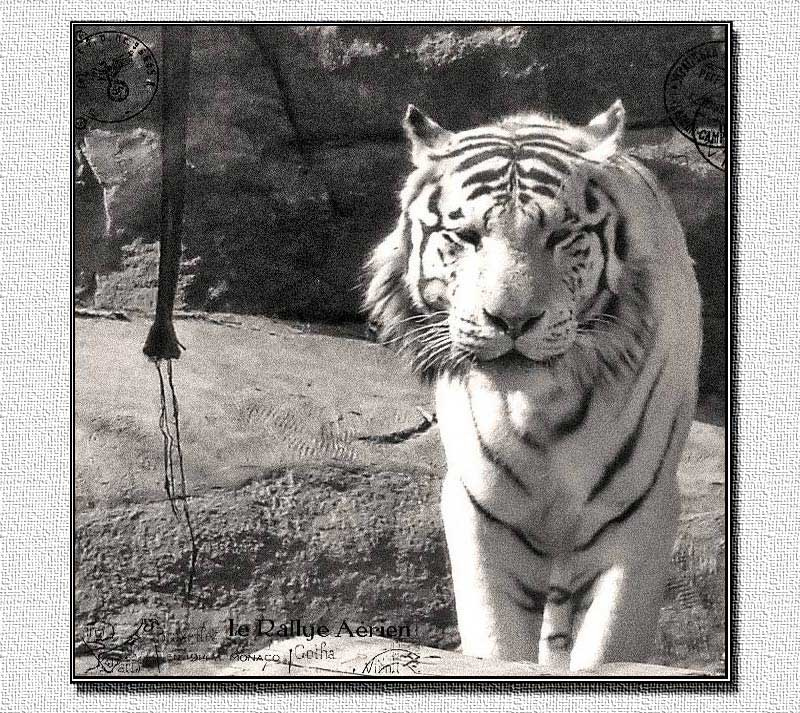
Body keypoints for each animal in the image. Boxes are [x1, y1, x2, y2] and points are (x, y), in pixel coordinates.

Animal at [363, 99, 702, 671]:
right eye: (466, 237)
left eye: (560, 237)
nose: (512, 320)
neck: (542, 410)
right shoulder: (481, 513)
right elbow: (496, 641)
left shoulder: (638, 516)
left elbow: (607, 646)